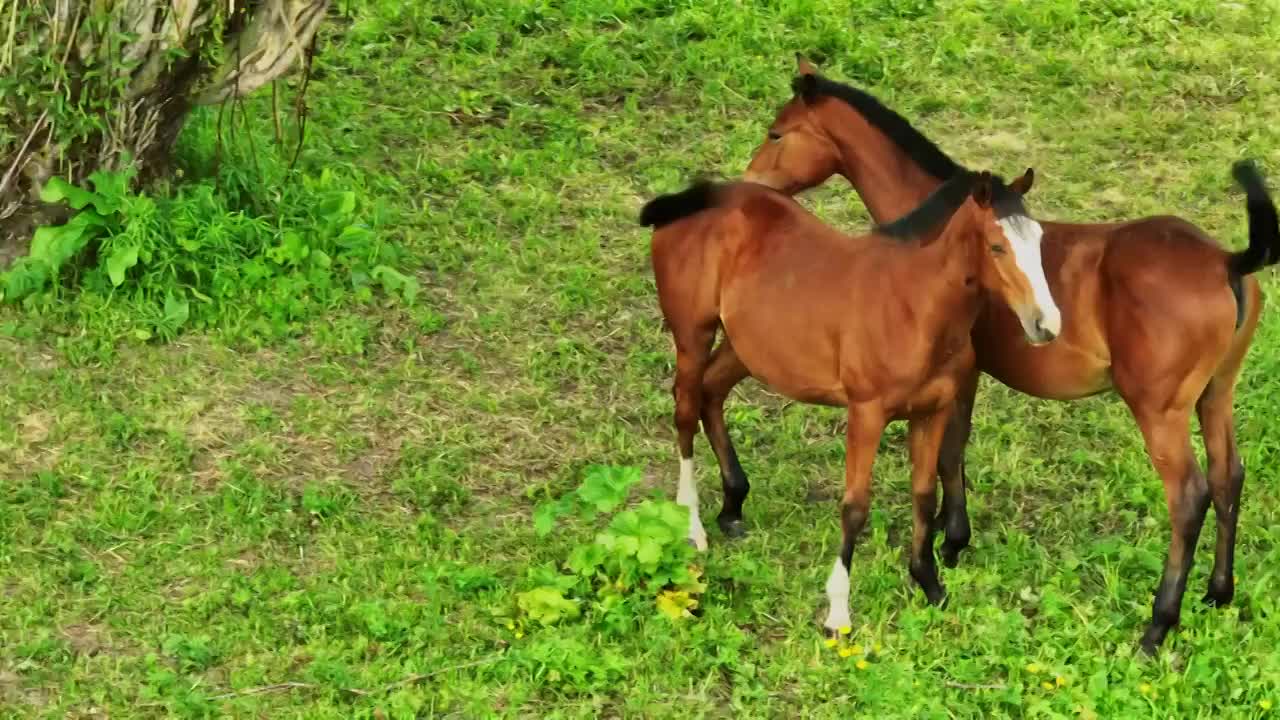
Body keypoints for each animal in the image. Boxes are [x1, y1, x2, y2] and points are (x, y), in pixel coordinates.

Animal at [640, 169, 1059, 632]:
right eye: (997, 246)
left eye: (1039, 241)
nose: (1046, 324)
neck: (916, 305)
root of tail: (696, 198)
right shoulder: (867, 413)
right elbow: (855, 506)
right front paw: (838, 610)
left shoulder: (931, 412)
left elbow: (924, 495)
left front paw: (930, 584)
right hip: (692, 337)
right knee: (684, 410)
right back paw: (692, 526)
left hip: (746, 347)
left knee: (711, 393)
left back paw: (732, 507)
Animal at [732, 56, 1280, 650]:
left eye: (777, 133)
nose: (749, 184)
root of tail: (1228, 261)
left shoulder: (961, 374)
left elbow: (949, 452)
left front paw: (950, 542)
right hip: (1215, 395)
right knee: (1228, 477)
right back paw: (1218, 592)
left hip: (1160, 411)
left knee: (1188, 496)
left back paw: (1158, 625)